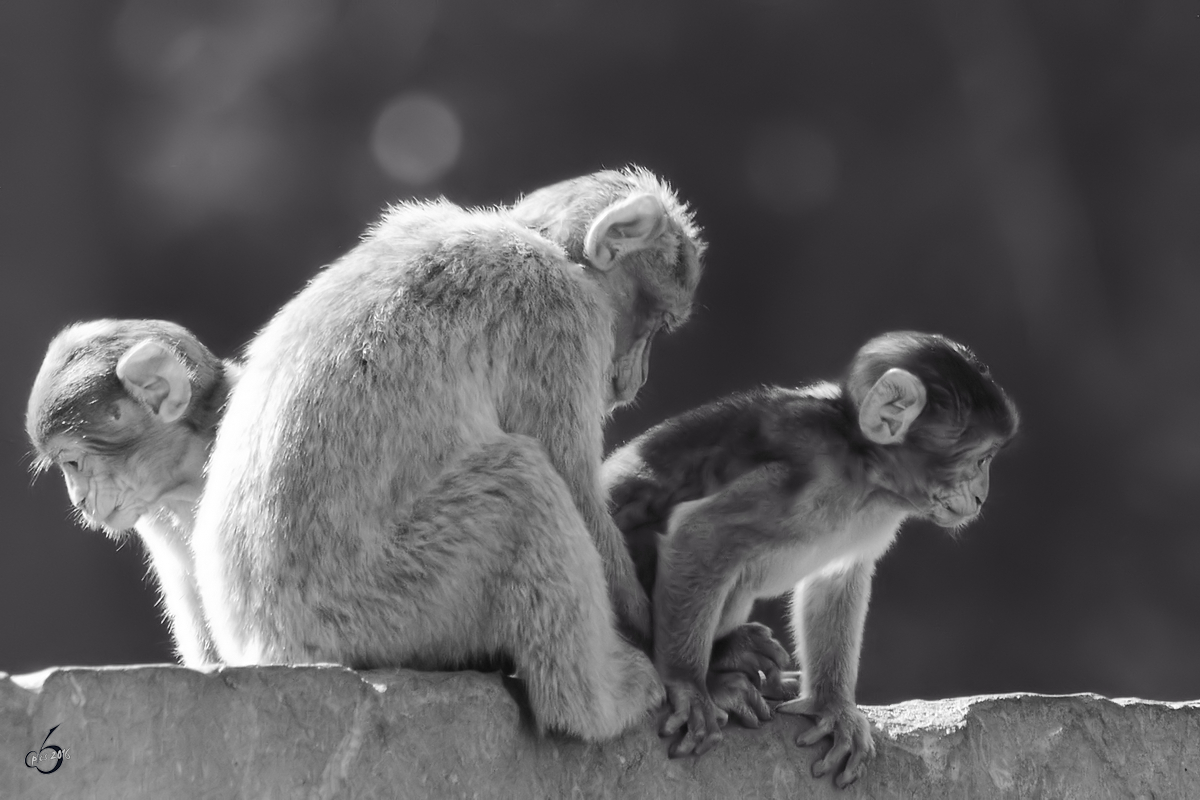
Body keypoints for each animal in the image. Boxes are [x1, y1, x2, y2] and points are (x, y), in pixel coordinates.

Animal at [192, 165, 705, 743]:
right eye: (657, 323)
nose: (635, 380)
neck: (535, 238)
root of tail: (265, 643)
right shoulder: (559, 317)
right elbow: (573, 484)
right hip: (384, 605)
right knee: (520, 485)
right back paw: (596, 707)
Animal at [604, 331, 1017, 786]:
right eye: (980, 459)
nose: (982, 495)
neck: (864, 467)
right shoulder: (803, 480)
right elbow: (700, 535)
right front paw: (689, 686)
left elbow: (836, 579)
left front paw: (832, 707)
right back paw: (722, 672)